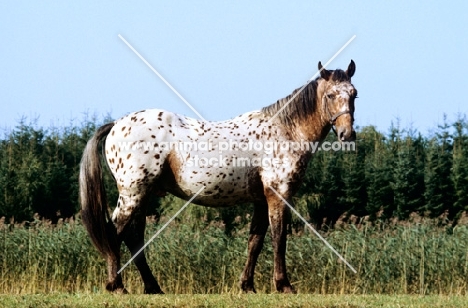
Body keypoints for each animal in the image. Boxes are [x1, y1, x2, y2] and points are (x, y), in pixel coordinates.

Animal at [80, 59, 358, 294]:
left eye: (354, 93)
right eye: (331, 95)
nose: (347, 134)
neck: (284, 130)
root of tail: (116, 124)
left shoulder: (261, 199)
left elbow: (255, 241)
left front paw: (247, 286)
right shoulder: (278, 196)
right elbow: (279, 239)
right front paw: (283, 285)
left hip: (143, 195)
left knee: (133, 236)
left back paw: (152, 287)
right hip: (133, 193)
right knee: (115, 232)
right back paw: (117, 286)